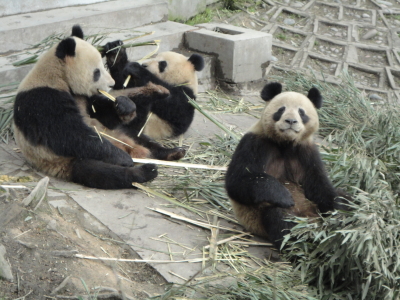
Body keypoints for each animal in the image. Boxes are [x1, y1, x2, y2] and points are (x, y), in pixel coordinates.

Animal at [13, 25, 183, 190]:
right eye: (97, 72)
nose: (112, 84)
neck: (58, 75)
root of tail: (131, 147)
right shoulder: (43, 99)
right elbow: (70, 134)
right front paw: (122, 158)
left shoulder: (85, 98)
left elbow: (102, 114)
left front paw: (125, 105)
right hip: (67, 161)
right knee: (102, 172)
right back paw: (143, 170)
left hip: (120, 132)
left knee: (143, 140)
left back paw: (172, 151)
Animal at [225, 81, 350, 248]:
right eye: (281, 109)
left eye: (301, 112)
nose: (291, 121)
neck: (285, 143)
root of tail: (310, 217)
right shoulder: (255, 144)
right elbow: (238, 180)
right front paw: (284, 196)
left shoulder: (306, 152)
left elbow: (318, 185)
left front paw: (336, 211)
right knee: (281, 219)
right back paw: (305, 239)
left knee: (347, 197)